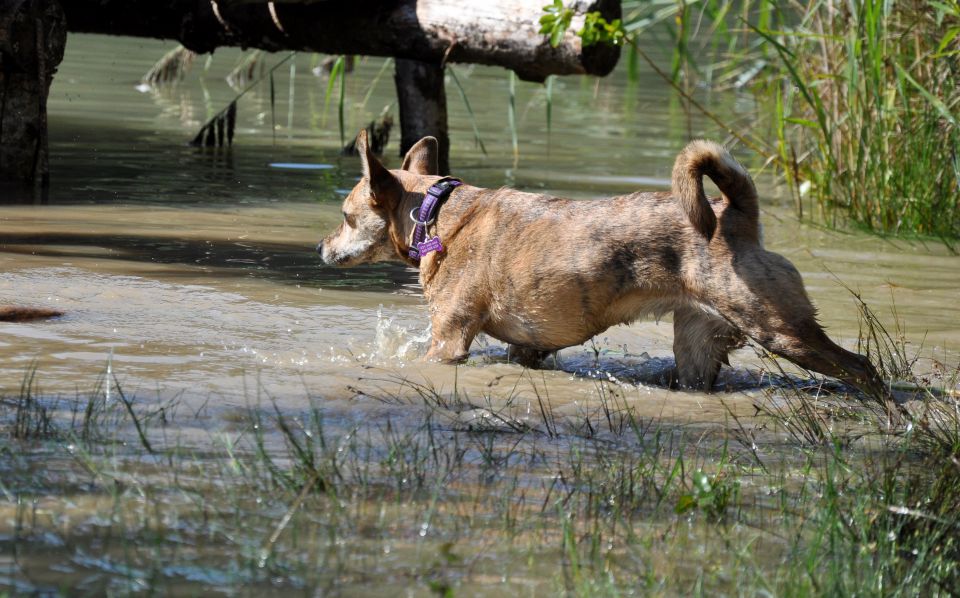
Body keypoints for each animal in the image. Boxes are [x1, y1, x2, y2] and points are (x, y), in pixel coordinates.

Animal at [320, 132, 884, 398]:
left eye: (346, 217)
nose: (322, 247)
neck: (434, 215)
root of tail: (737, 213)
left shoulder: (448, 340)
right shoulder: (529, 346)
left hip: (778, 326)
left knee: (862, 367)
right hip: (698, 342)